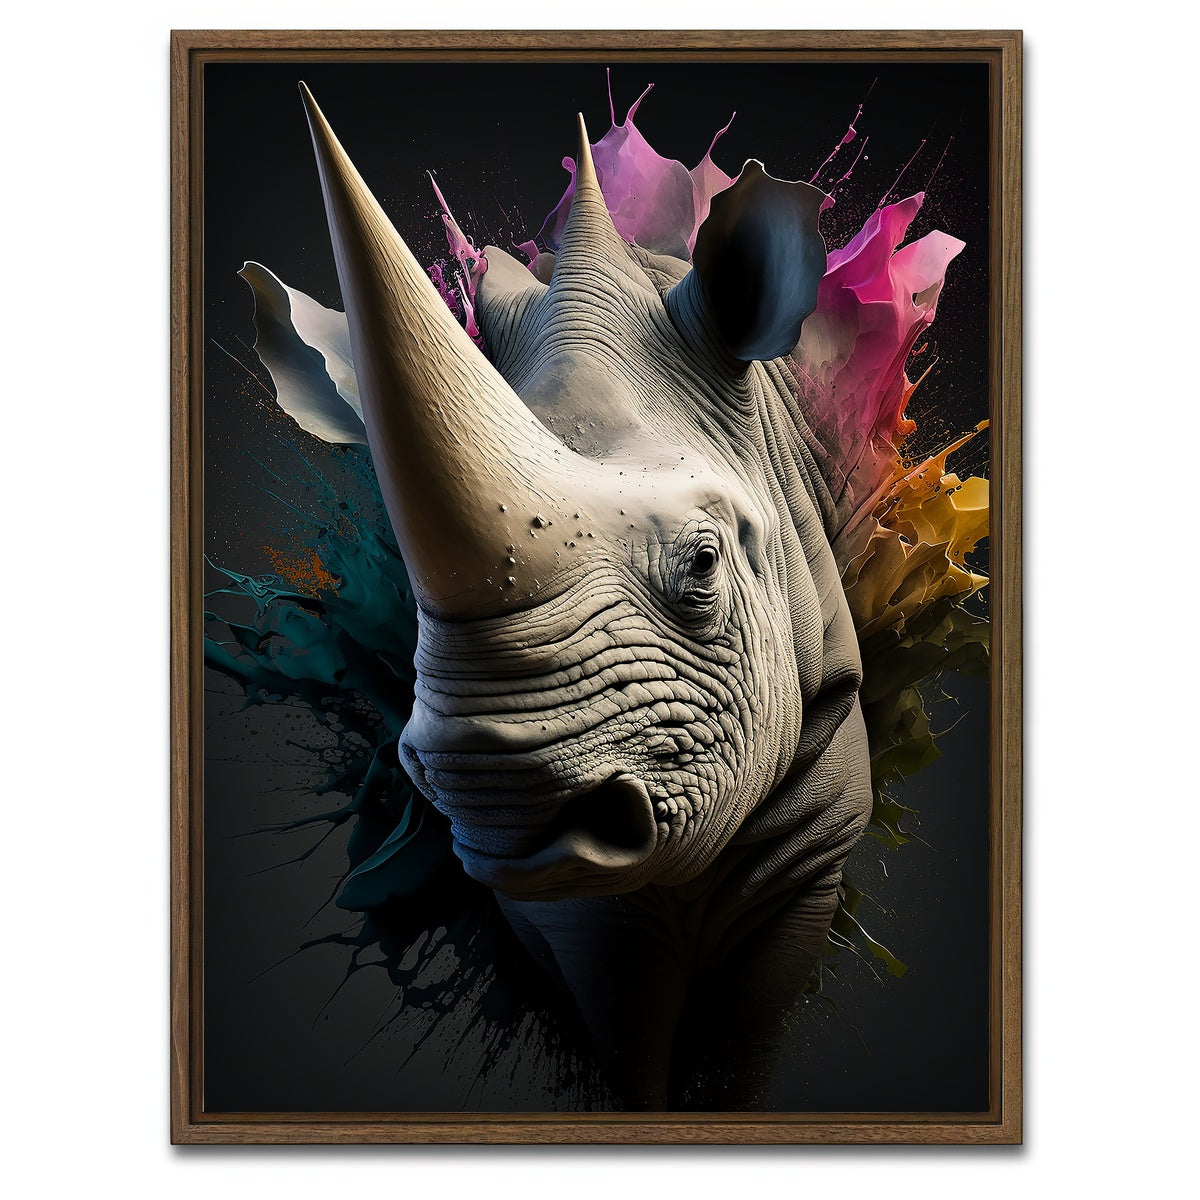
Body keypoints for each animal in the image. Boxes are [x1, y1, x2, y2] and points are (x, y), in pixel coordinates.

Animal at [298, 83, 874, 1110]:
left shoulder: (814, 838)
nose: (498, 791)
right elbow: (622, 1020)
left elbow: (743, 1040)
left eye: (704, 565)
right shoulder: (568, 907)